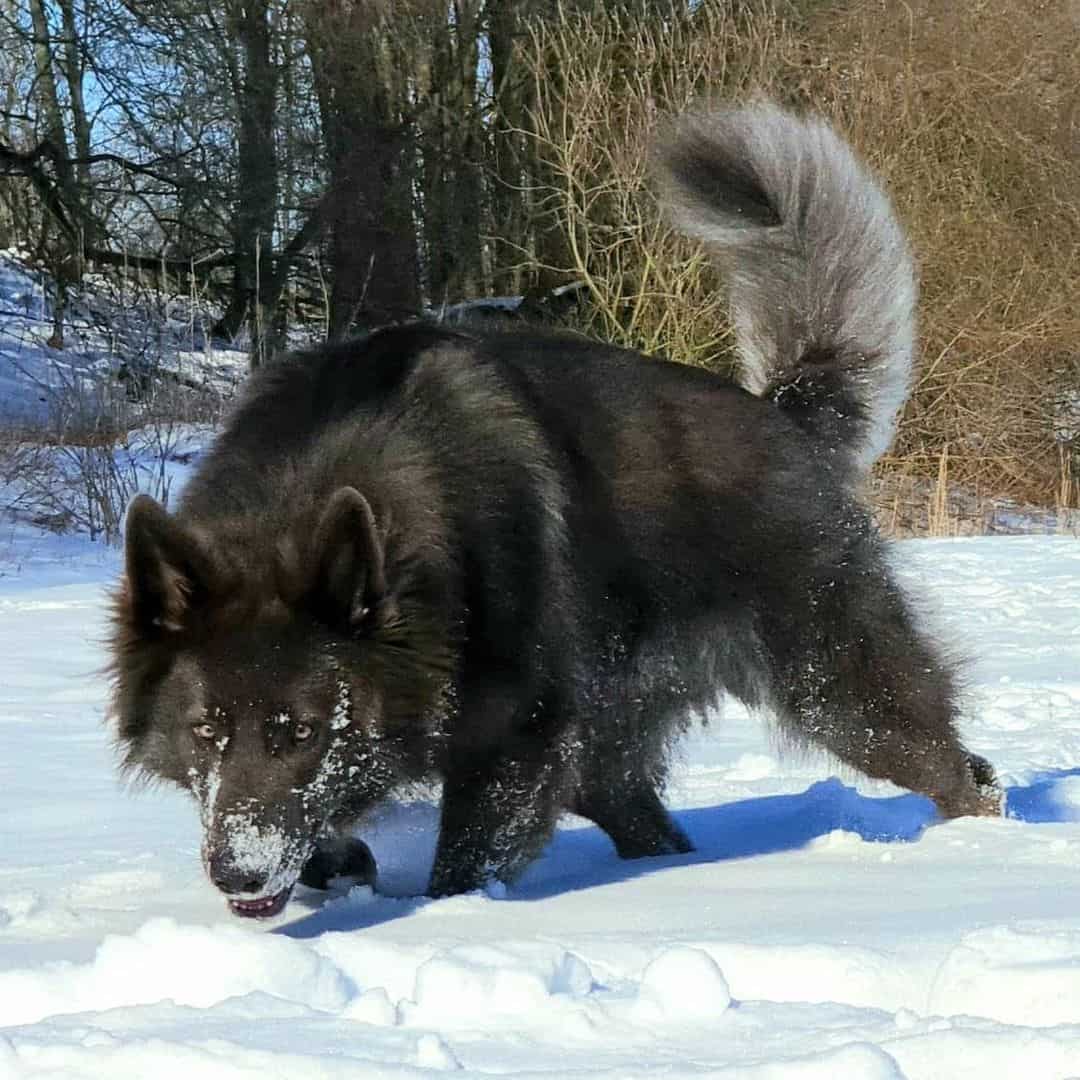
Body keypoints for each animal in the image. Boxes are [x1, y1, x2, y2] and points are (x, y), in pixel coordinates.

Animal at [107, 101, 993, 915]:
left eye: (301, 732)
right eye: (205, 732)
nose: (239, 874)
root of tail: (780, 413)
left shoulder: (512, 744)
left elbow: (459, 870)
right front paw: (345, 863)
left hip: (839, 690)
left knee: (959, 772)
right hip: (612, 747)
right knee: (648, 823)